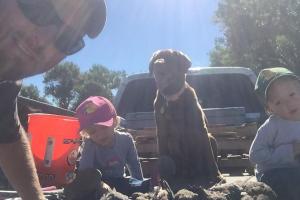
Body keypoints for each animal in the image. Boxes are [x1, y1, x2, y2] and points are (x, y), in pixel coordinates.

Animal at [149, 49, 223, 188]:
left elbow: (209, 156)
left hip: (212, 138)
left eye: (170, 58)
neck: (172, 98)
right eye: (156, 58)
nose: (157, 64)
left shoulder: (201, 129)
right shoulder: (161, 133)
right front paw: (164, 180)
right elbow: (163, 155)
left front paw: (217, 176)